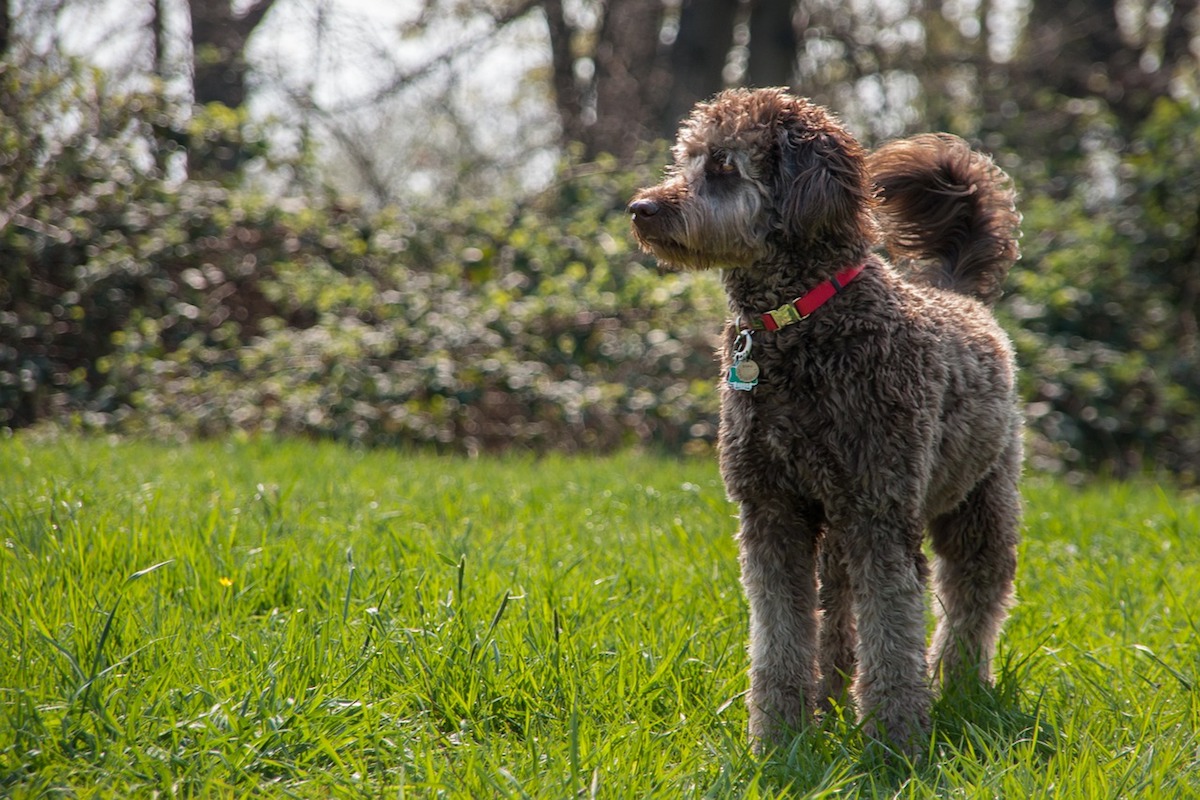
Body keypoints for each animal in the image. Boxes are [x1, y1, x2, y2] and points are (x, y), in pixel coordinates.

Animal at [628, 89, 1022, 758]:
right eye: (684, 159)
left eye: (724, 166)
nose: (641, 208)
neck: (800, 325)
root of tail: (959, 295)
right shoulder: (772, 512)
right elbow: (781, 636)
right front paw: (778, 739)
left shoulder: (881, 515)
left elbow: (892, 635)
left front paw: (895, 744)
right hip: (837, 526)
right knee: (837, 616)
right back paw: (831, 699)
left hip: (978, 503)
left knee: (974, 599)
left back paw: (960, 684)